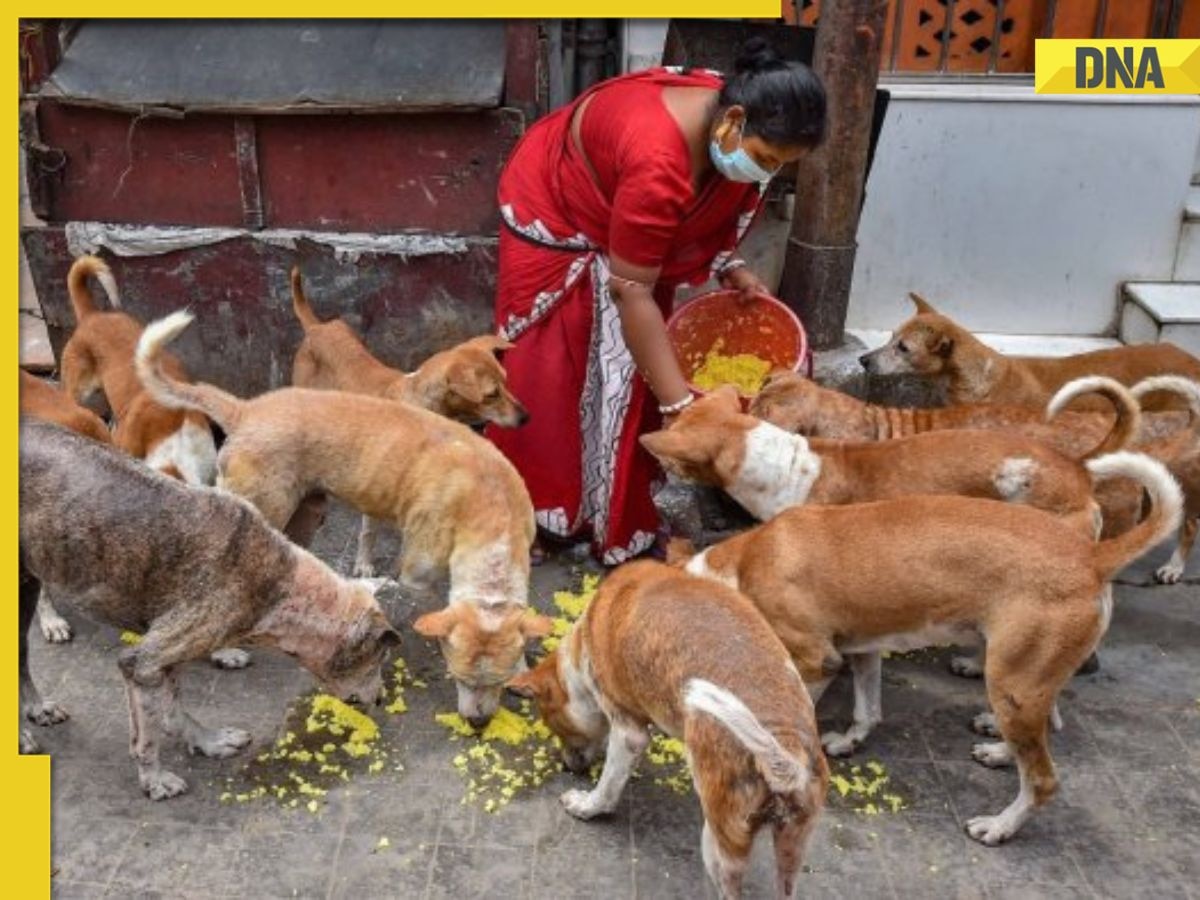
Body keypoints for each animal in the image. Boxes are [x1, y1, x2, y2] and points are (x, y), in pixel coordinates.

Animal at [19, 420, 398, 801]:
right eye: (377, 659)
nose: (381, 699)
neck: (279, 581)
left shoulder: (170, 659)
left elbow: (174, 712)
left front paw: (207, 741)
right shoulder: (142, 664)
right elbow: (146, 738)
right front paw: (154, 779)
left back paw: (37, 710)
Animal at [138, 314, 549, 729]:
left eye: (497, 680)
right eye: (459, 678)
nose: (478, 724)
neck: (491, 508)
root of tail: (245, 409)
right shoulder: (417, 571)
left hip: (305, 515)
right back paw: (225, 652)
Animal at [506, 564, 825, 900]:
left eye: (555, 725)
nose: (567, 766)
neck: (583, 642)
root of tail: (786, 752)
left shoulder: (628, 733)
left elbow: (607, 788)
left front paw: (586, 805)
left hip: (721, 848)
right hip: (792, 849)